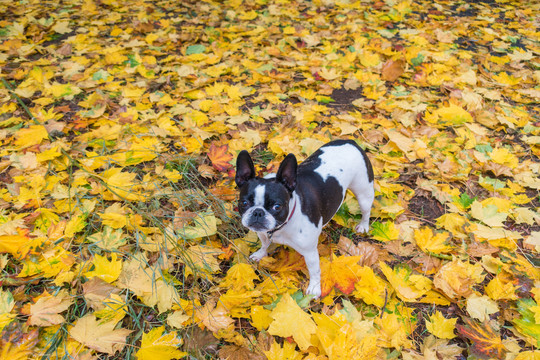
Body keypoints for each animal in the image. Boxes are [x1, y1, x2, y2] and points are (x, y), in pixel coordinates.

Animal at [234, 139, 374, 296]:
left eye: (277, 206)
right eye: (243, 203)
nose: (258, 212)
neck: (283, 226)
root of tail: (350, 142)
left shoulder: (310, 252)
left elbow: (314, 270)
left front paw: (314, 288)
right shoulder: (263, 234)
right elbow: (264, 244)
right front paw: (260, 254)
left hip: (364, 191)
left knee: (366, 210)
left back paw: (363, 226)